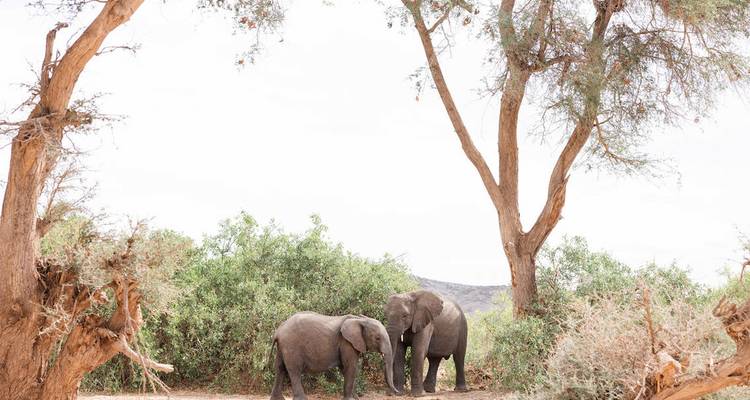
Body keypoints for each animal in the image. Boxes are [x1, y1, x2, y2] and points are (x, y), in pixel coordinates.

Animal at [269, 312, 399, 400]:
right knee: (294, 370)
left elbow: (345, 369)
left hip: (282, 347)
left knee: (280, 368)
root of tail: (278, 331)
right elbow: (350, 367)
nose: (397, 392)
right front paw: (350, 399)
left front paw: (355, 398)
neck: (359, 320)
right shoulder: (346, 343)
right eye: (377, 338)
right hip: (291, 346)